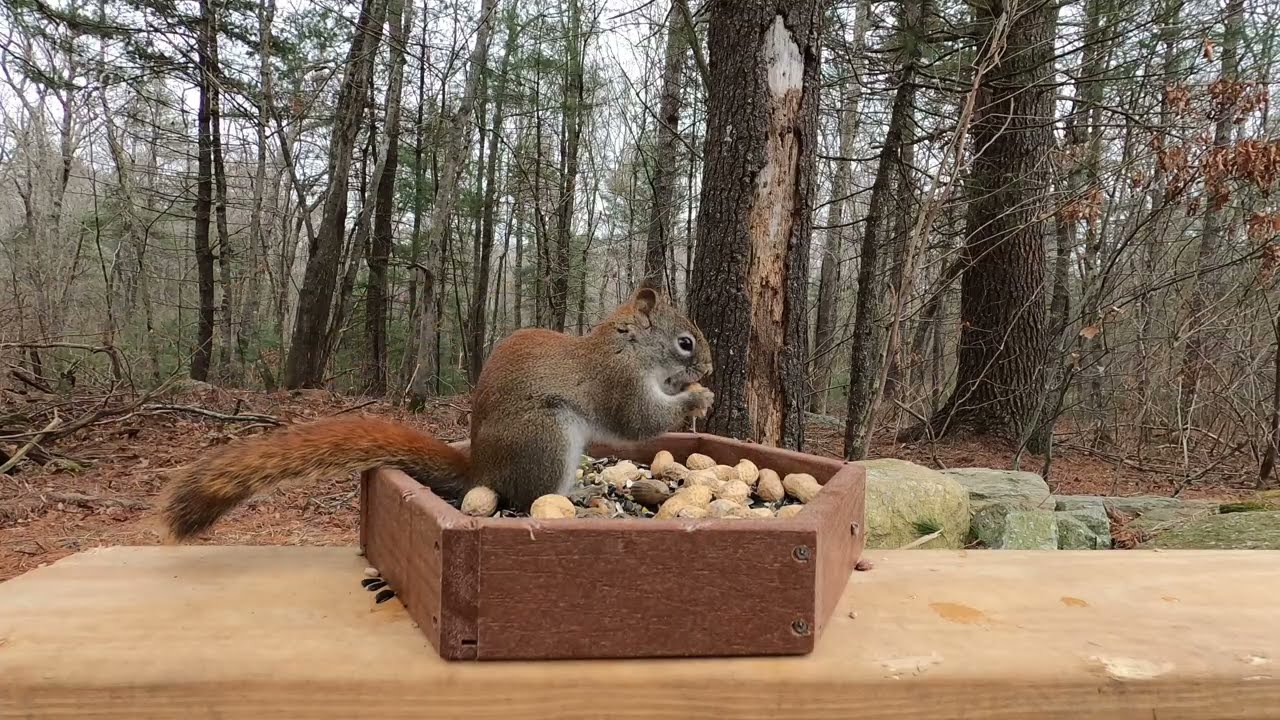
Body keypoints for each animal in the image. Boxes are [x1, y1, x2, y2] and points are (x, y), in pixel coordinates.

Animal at [158, 286, 714, 542]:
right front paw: (696, 398)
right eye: (685, 342)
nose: (709, 366)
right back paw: (572, 500)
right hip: (545, 438)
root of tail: (481, 468)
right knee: (528, 496)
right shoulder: (615, 382)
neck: (628, 348)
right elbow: (637, 419)